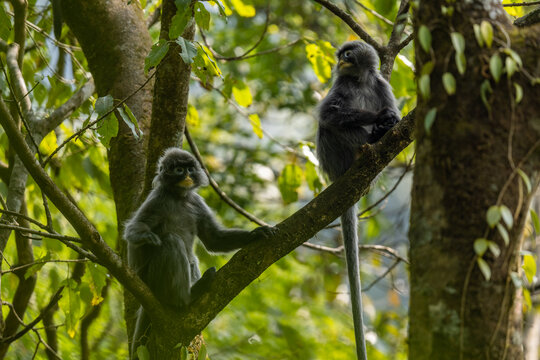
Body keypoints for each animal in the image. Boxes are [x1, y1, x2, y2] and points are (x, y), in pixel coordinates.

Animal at [125, 148, 274, 356]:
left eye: (189, 168)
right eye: (178, 170)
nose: (187, 175)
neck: (179, 198)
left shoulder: (196, 202)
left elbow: (214, 239)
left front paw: (255, 234)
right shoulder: (157, 200)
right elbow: (133, 230)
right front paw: (147, 237)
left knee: (192, 258)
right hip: (149, 277)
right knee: (172, 241)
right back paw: (186, 297)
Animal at [314, 40, 398, 358]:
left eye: (349, 52)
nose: (344, 57)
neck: (359, 81)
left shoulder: (382, 85)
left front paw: (388, 121)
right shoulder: (340, 86)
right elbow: (329, 114)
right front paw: (380, 119)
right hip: (333, 156)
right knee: (328, 126)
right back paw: (373, 136)